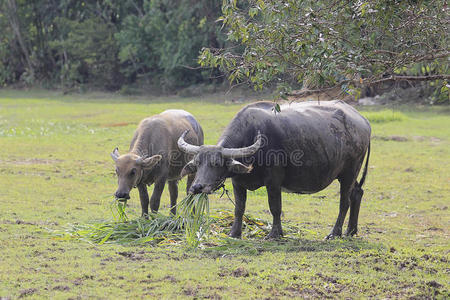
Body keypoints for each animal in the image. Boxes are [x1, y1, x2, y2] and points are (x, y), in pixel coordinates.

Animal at [178, 101, 370, 239]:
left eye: (217, 163)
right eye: (197, 163)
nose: (197, 187)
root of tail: (363, 121)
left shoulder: (273, 182)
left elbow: (275, 207)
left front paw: (274, 233)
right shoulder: (237, 182)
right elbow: (239, 208)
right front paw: (234, 233)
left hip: (349, 172)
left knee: (344, 201)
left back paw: (334, 233)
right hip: (351, 174)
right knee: (357, 193)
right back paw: (351, 230)